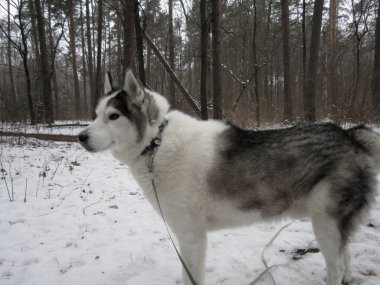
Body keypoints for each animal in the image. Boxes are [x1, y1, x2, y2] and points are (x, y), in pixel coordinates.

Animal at [78, 69, 380, 284]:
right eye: (96, 115)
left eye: (113, 116)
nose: (80, 136)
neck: (157, 143)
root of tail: (350, 135)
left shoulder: (191, 237)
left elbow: (191, 278)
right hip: (331, 225)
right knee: (345, 258)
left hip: (325, 223)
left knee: (335, 267)